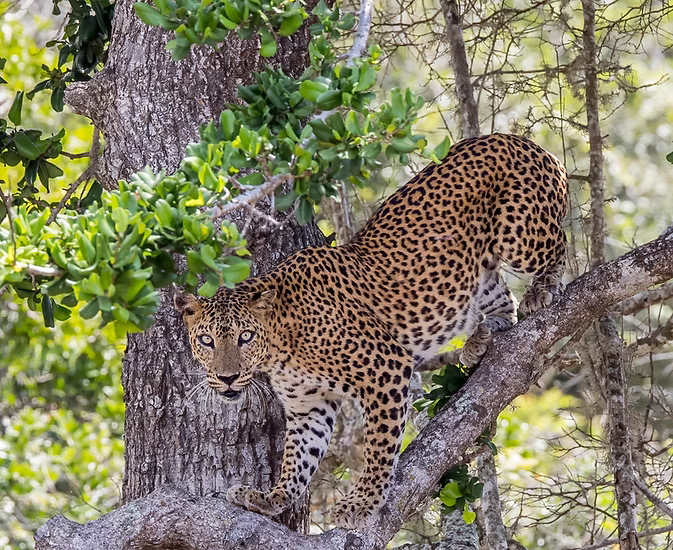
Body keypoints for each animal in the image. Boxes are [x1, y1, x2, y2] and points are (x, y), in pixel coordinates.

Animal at [174, 133, 568, 528]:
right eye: (207, 341)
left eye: (246, 337)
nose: (227, 378)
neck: (280, 348)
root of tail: (514, 139)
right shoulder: (308, 406)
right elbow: (298, 457)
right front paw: (273, 497)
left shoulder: (386, 368)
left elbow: (380, 443)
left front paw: (363, 501)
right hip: (477, 269)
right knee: (502, 300)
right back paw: (481, 339)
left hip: (519, 234)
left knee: (558, 244)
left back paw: (542, 289)